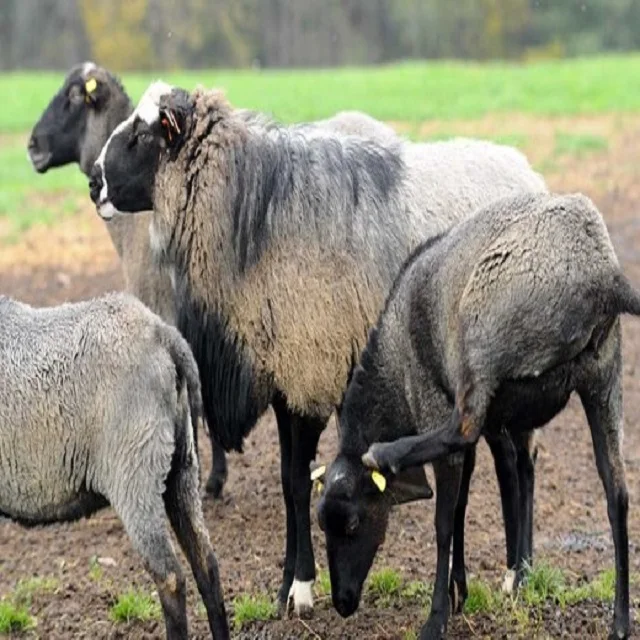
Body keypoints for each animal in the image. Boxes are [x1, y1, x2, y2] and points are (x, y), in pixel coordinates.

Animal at [88, 81, 547, 616]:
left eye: (143, 134)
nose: (93, 183)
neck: (256, 216)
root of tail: (528, 173)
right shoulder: (286, 379)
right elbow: (290, 483)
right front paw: (287, 585)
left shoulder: (310, 367)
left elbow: (298, 480)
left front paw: (303, 586)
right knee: (506, 460)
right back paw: (499, 576)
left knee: (520, 462)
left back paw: (519, 574)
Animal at [316, 192, 633, 639]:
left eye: (353, 525)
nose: (343, 604)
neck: (394, 363)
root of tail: (602, 276)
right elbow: (462, 505)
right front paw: (459, 590)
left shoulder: (433, 401)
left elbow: (444, 521)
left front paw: (437, 616)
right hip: (604, 375)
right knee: (616, 491)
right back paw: (620, 620)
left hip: (482, 340)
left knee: (462, 427)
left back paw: (386, 453)